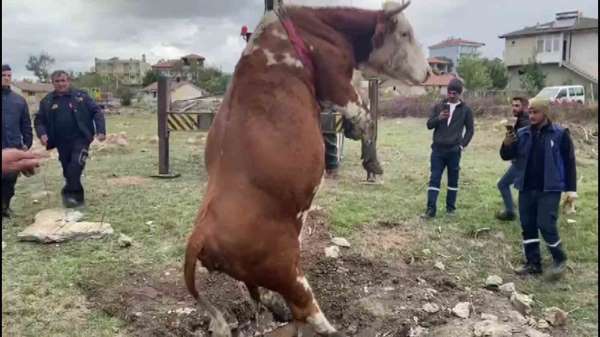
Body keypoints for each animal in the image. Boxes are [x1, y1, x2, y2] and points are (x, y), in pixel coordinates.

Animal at [185, 1, 428, 334]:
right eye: (405, 33)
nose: (429, 72)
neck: (313, 27)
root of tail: (200, 234)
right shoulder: (337, 83)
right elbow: (365, 115)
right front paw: (370, 158)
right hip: (285, 268)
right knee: (305, 306)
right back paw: (328, 326)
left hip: (258, 271)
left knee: (259, 294)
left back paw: (276, 308)